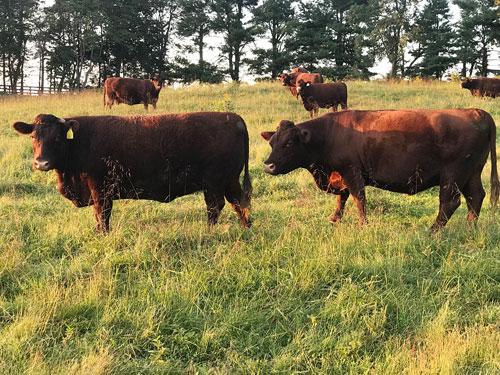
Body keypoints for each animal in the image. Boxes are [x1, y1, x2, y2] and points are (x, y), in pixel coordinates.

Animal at [13, 111, 252, 232]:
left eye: (57, 138)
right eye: (33, 137)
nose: (41, 163)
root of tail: (233, 117)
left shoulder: (101, 189)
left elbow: (102, 215)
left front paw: (102, 235)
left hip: (215, 182)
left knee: (215, 207)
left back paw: (209, 232)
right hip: (230, 180)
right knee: (238, 202)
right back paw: (247, 228)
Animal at [262, 108, 500, 231]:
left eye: (289, 143)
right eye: (272, 142)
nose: (268, 165)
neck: (329, 134)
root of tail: (476, 112)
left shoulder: (352, 172)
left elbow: (358, 199)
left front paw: (362, 224)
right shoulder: (341, 175)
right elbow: (342, 197)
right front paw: (335, 219)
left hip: (452, 175)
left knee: (450, 202)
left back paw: (433, 230)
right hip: (471, 173)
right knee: (476, 197)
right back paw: (470, 227)